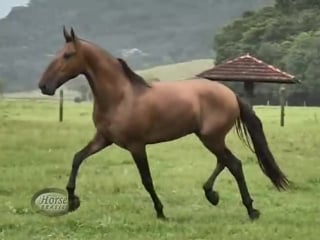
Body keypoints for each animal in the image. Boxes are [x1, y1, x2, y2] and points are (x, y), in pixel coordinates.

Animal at [38, 27, 290, 220]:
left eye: (68, 55)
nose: (44, 86)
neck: (121, 96)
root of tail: (231, 94)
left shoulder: (136, 145)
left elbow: (147, 180)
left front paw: (160, 212)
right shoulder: (103, 139)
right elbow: (77, 158)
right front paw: (72, 200)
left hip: (211, 138)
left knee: (234, 164)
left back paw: (250, 209)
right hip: (209, 137)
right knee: (225, 162)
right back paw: (212, 195)